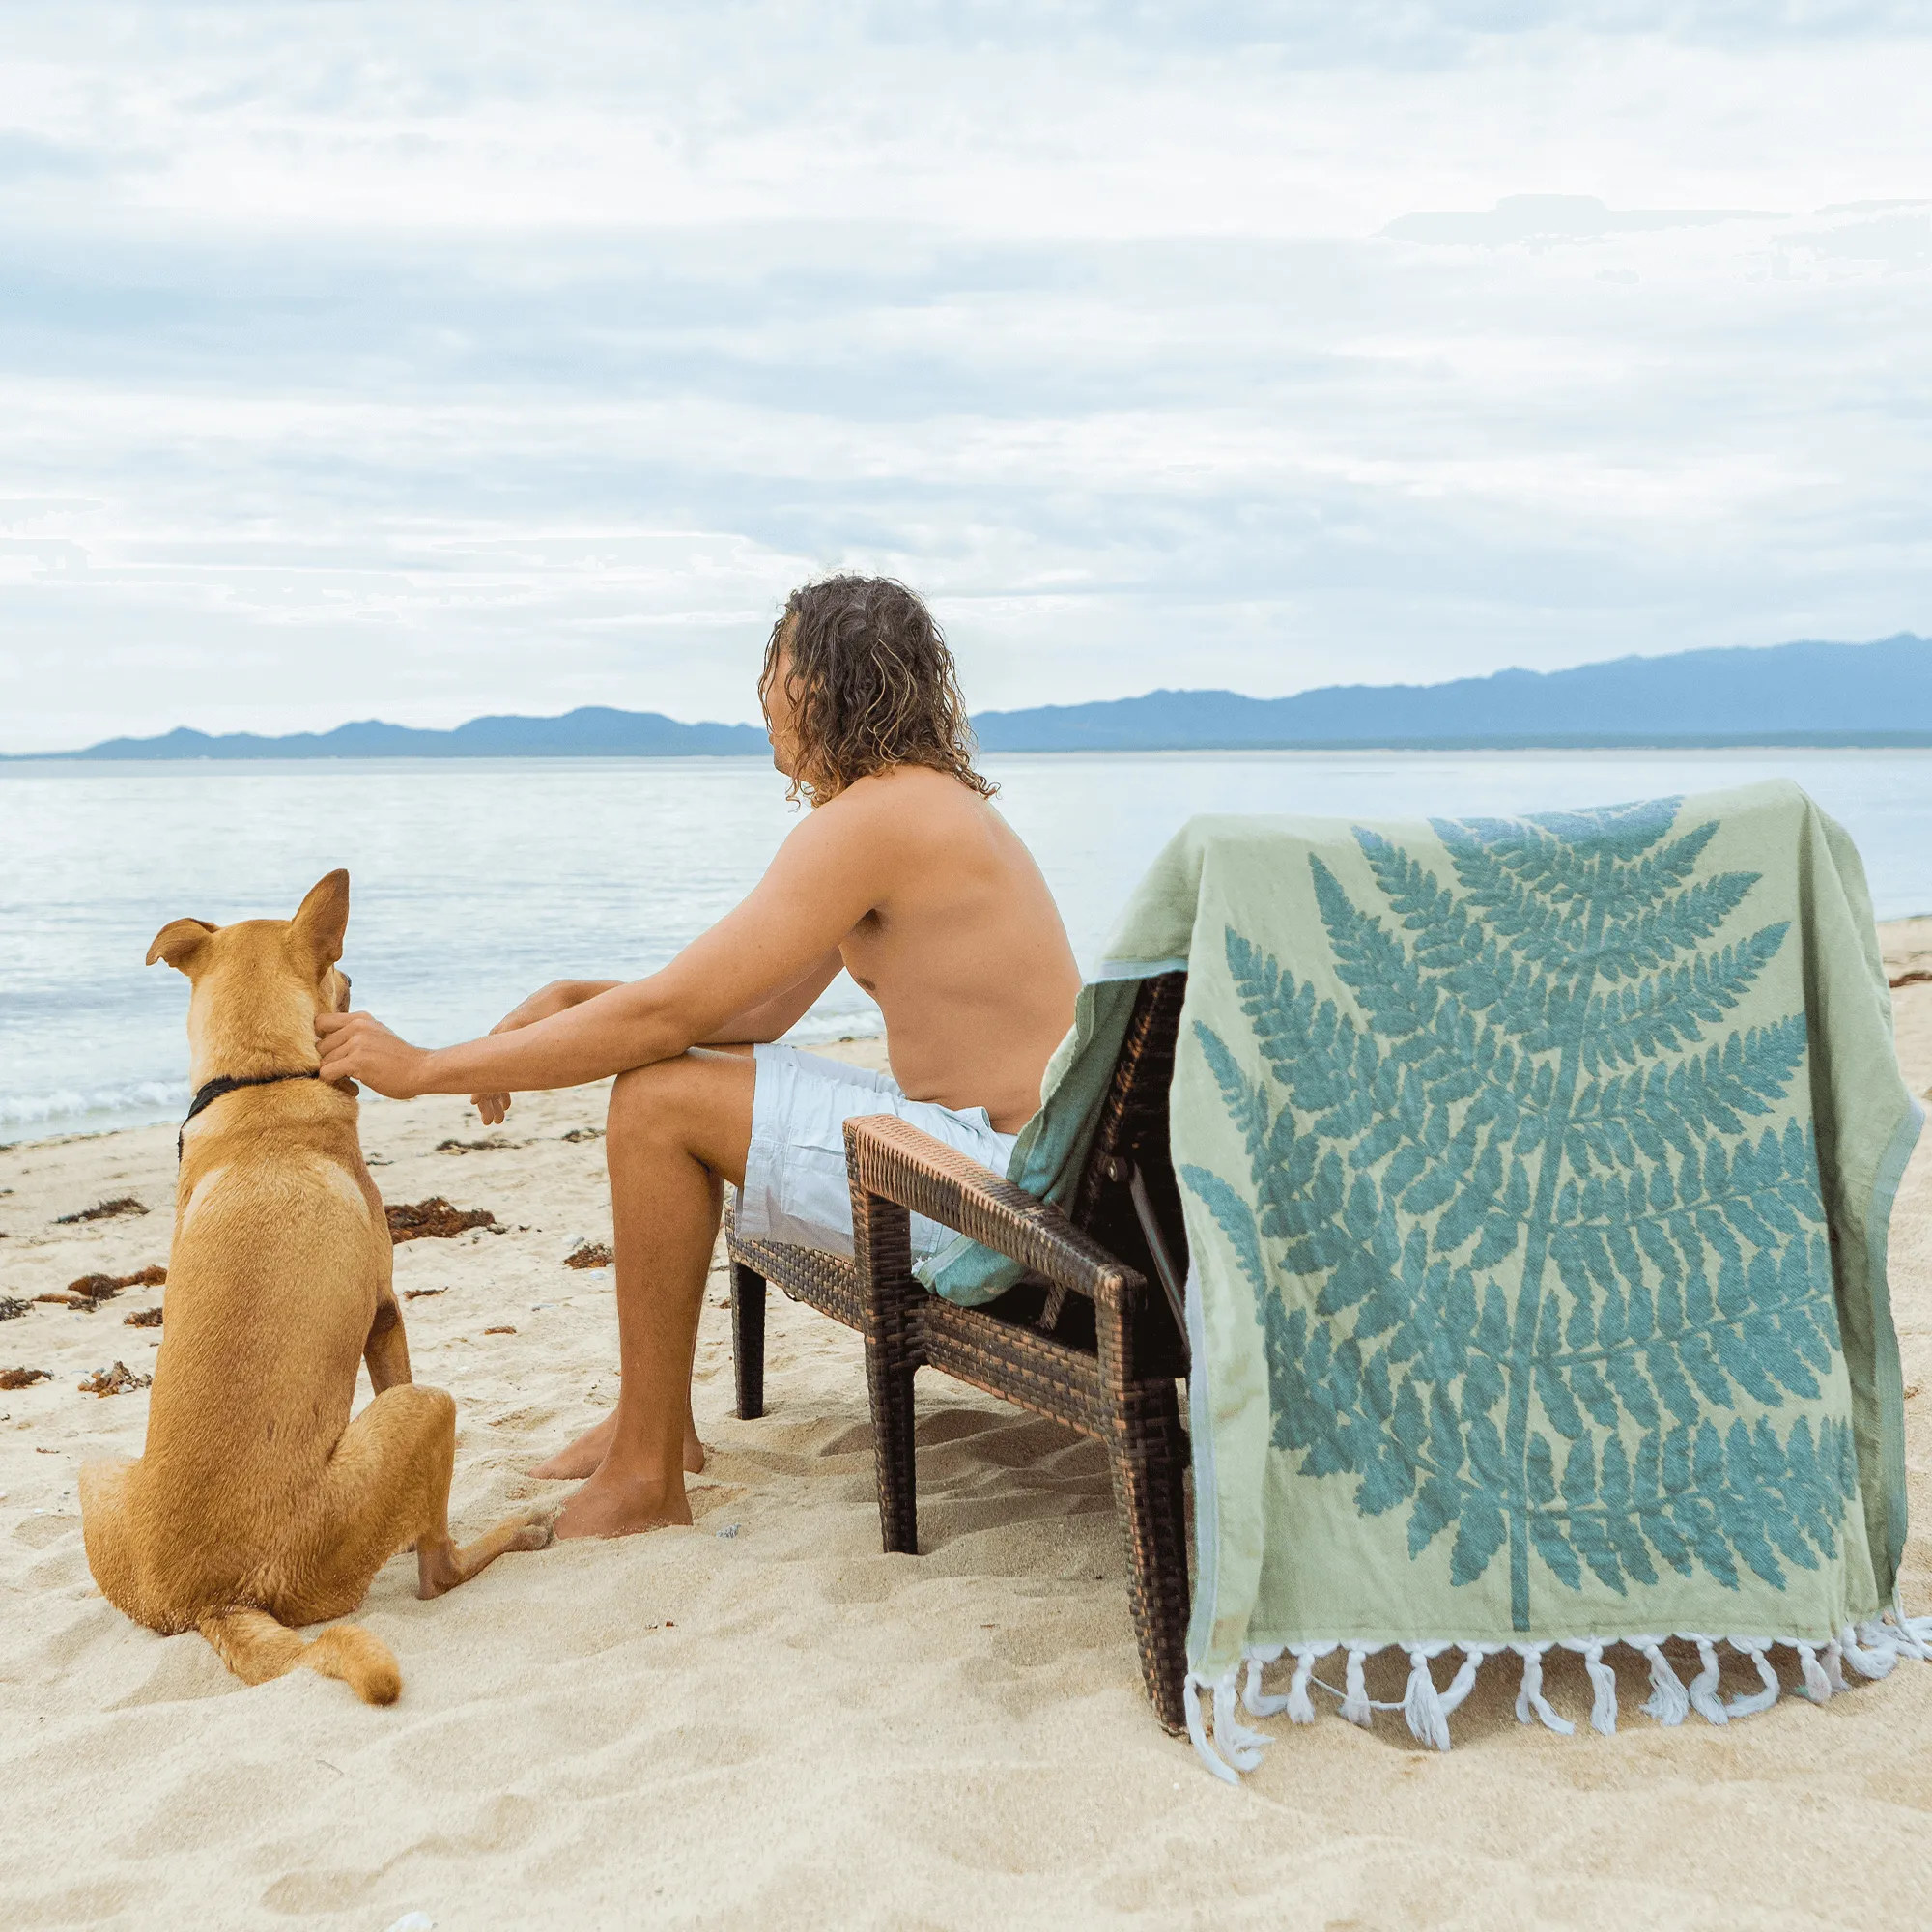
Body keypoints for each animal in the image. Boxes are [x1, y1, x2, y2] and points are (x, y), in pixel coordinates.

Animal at [81, 869, 553, 1700]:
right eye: (340, 968)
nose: (354, 980)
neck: (258, 1081)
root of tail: (215, 1600)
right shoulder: (387, 1315)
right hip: (428, 1410)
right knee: (439, 1570)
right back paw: (512, 1533)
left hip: (95, 1472)